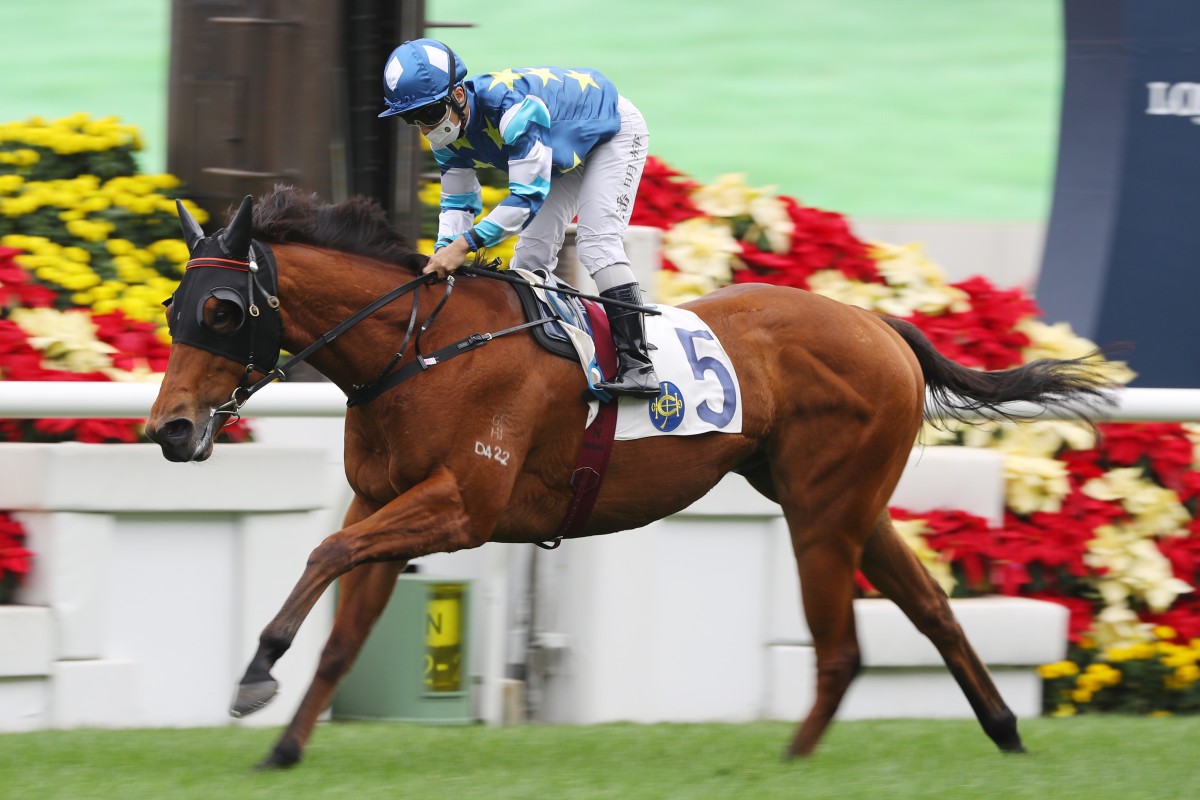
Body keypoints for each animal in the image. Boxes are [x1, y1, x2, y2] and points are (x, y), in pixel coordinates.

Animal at [145, 185, 1108, 767]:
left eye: (222, 311)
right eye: (172, 307)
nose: (171, 429)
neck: (417, 349)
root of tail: (880, 325)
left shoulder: (461, 507)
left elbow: (323, 555)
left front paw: (257, 671)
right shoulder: (385, 498)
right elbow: (345, 616)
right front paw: (283, 746)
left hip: (821, 510)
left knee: (841, 647)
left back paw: (796, 762)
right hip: (846, 502)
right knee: (933, 608)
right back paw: (1005, 731)